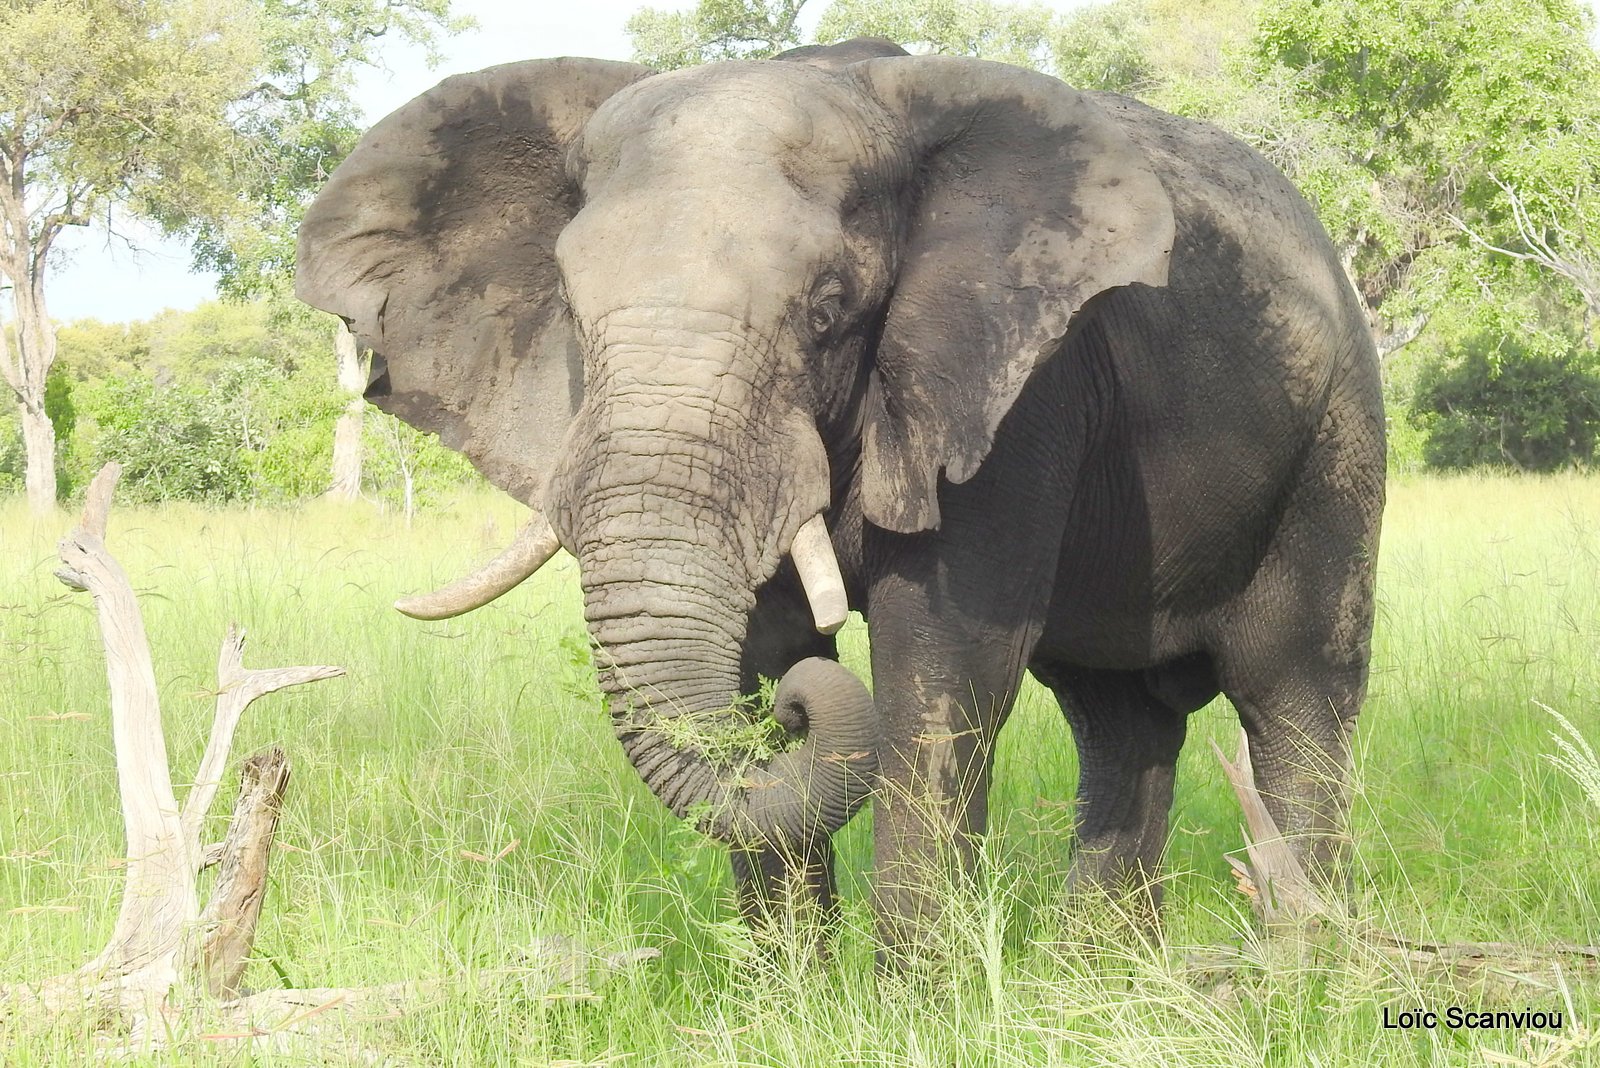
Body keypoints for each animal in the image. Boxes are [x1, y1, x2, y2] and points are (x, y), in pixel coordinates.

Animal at [297, 35, 1388, 952]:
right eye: (569, 306)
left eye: (826, 311)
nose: (794, 715)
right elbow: (760, 643)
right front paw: (791, 999)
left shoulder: (1016, 385)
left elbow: (942, 664)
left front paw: (916, 1009)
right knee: (1116, 717)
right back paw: (1105, 973)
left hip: (1335, 429)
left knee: (1295, 695)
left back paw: (1302, 968)